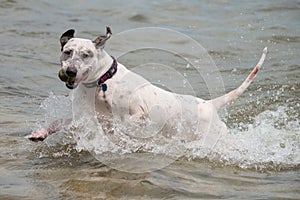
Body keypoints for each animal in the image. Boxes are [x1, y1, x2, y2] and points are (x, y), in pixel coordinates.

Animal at [28, 26, 268, 142]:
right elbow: (61, 122)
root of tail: (209, 104)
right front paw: (41, 133)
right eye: (67, 52)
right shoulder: (83, 114)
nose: (70, 71)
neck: (101, 82)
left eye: (86, 55)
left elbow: (124, 123)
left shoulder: (138, 114)